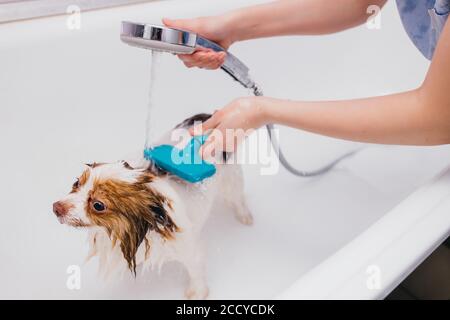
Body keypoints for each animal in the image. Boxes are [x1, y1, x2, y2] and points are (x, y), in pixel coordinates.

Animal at [51, 114, 253, 298]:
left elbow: (196, 272)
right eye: (77, 183)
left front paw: (198, 293)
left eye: (98, 205)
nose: (56, 207)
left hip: (232, 181)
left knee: (238, 198)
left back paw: (245, 217)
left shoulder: (189, 249)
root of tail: (206, 116)